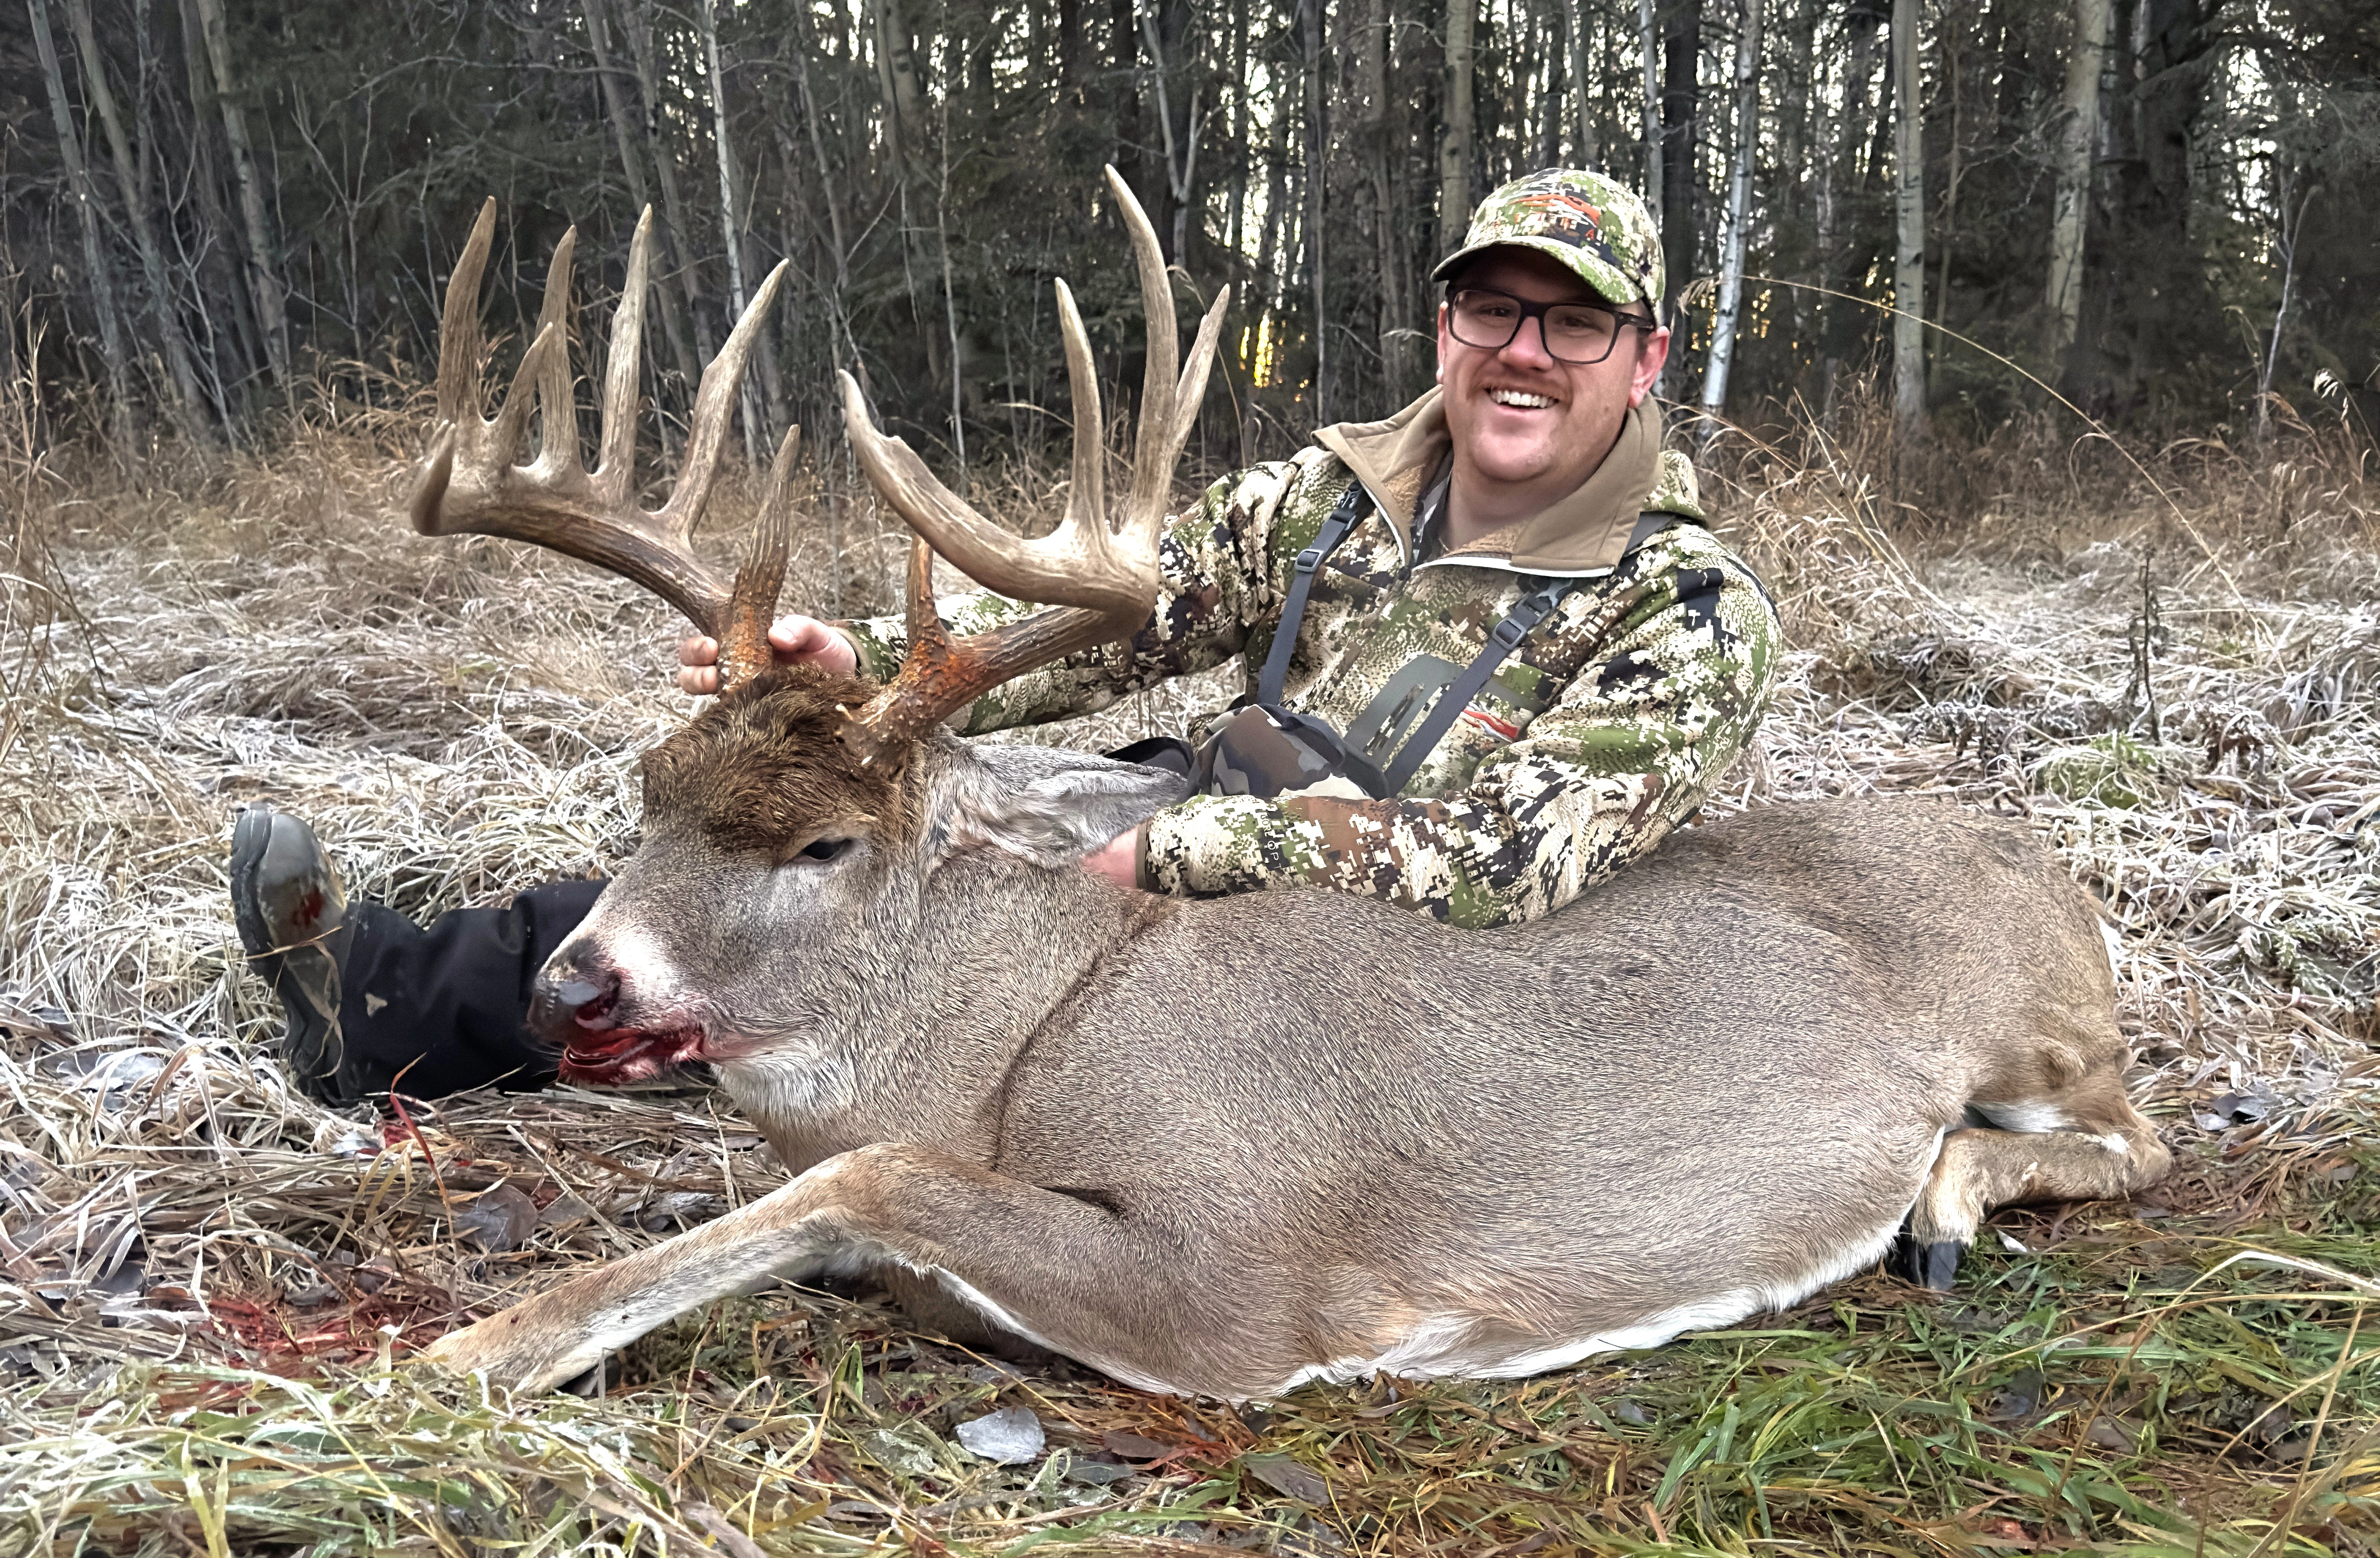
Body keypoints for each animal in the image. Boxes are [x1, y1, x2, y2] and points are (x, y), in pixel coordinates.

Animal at [414, 174, 2180, 1401]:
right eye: (649, 780)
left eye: (825, 840)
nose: (575, 983)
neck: (1025, 1039)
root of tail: (2048, 868)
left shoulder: (1242, 1271)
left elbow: (870, 1173)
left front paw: (464, 1354)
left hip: (2037, 1032)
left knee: (2135, 1129)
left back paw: (1941, 1196)